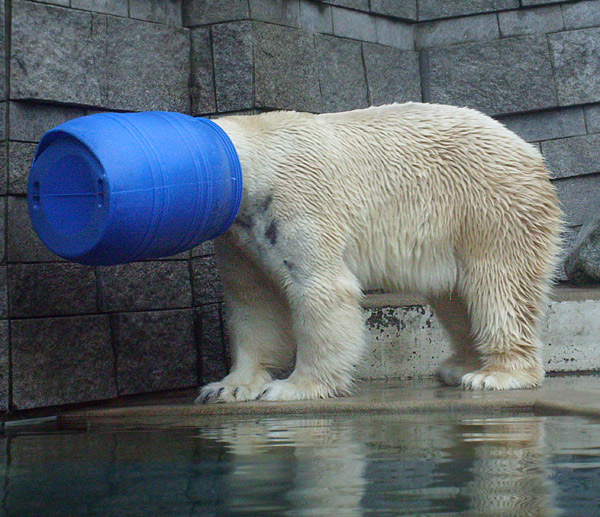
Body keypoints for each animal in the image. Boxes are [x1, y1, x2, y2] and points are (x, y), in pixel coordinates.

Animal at [198, 102, 564, 404]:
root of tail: (531, 153)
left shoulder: (298, 202)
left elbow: (322, 290)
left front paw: (294, 386)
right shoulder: (240, 237)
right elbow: (253, 301)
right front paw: (228, 387)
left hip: (490, 206)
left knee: (500, 287)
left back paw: (497, 374)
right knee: (454, 297)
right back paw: (460, 366)